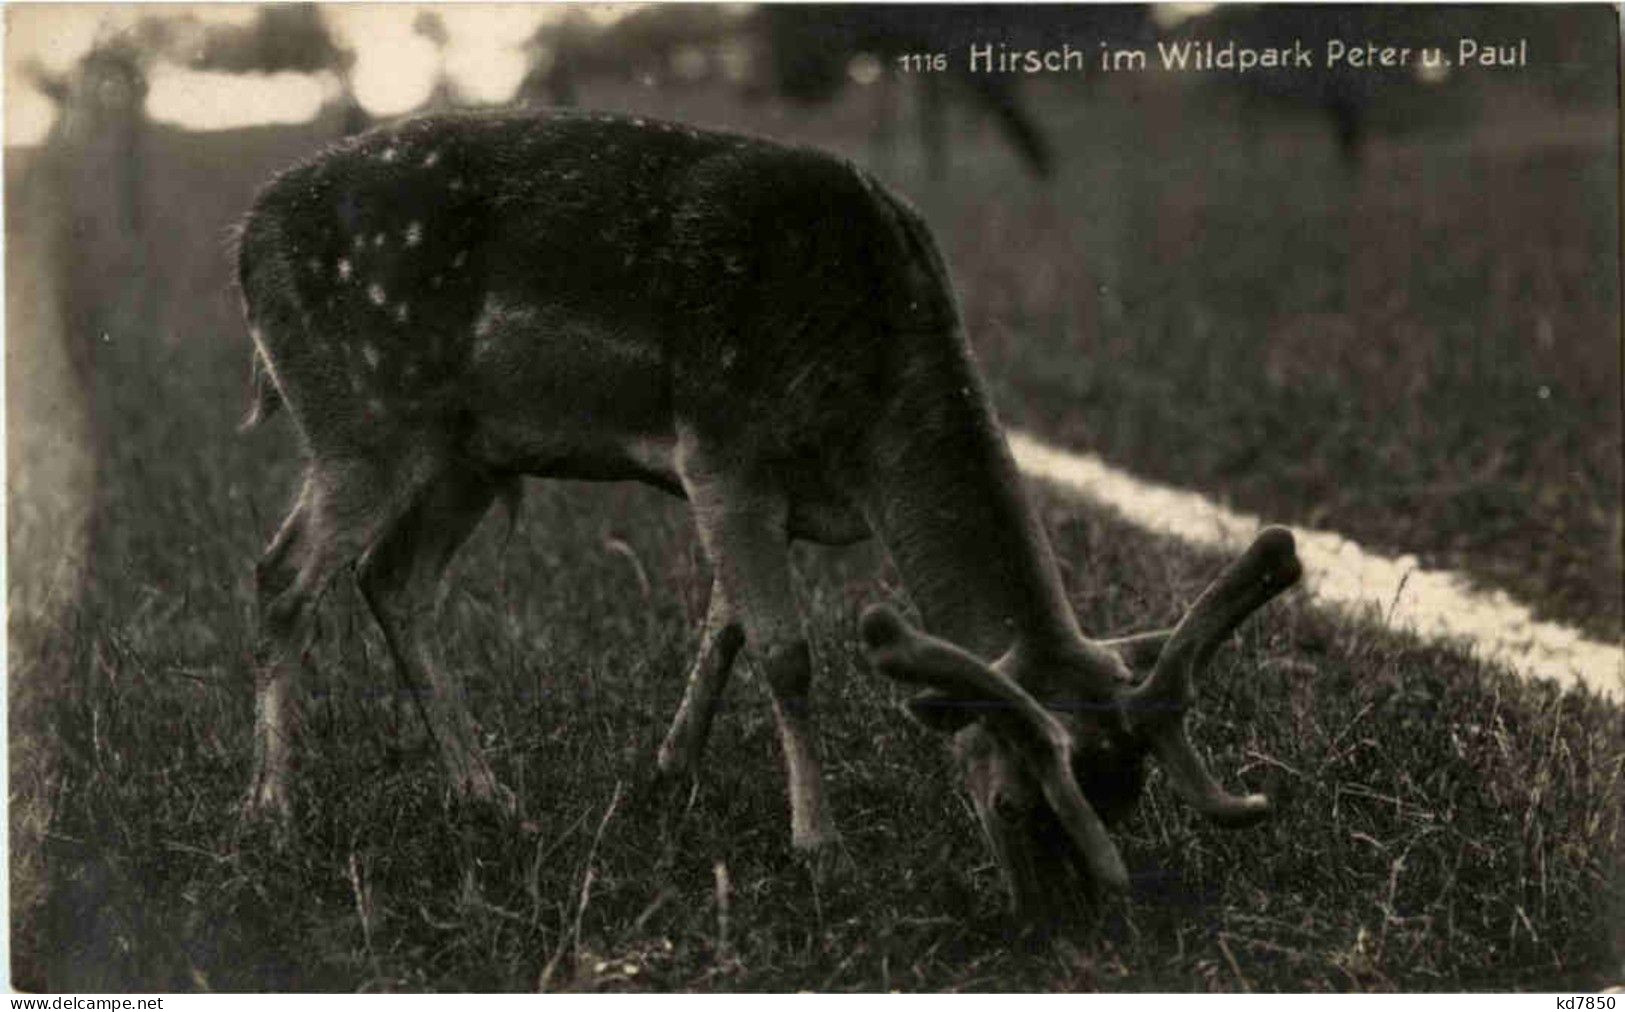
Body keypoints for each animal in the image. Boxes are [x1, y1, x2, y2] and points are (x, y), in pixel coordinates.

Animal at [240, 110, 1300, 916]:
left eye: (1125, 798)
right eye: (1013, 804)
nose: (1064, 921)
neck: (866, 423)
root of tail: (245, 238)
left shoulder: (764, 493)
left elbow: (726, 627)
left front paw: (668, 771)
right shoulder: (721, 447)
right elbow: (785, 652)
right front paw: (819, 846)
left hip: (466, 449)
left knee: (390, 576)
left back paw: (485, 791)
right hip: (361, 417)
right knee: (282, 574)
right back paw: (274, 815)